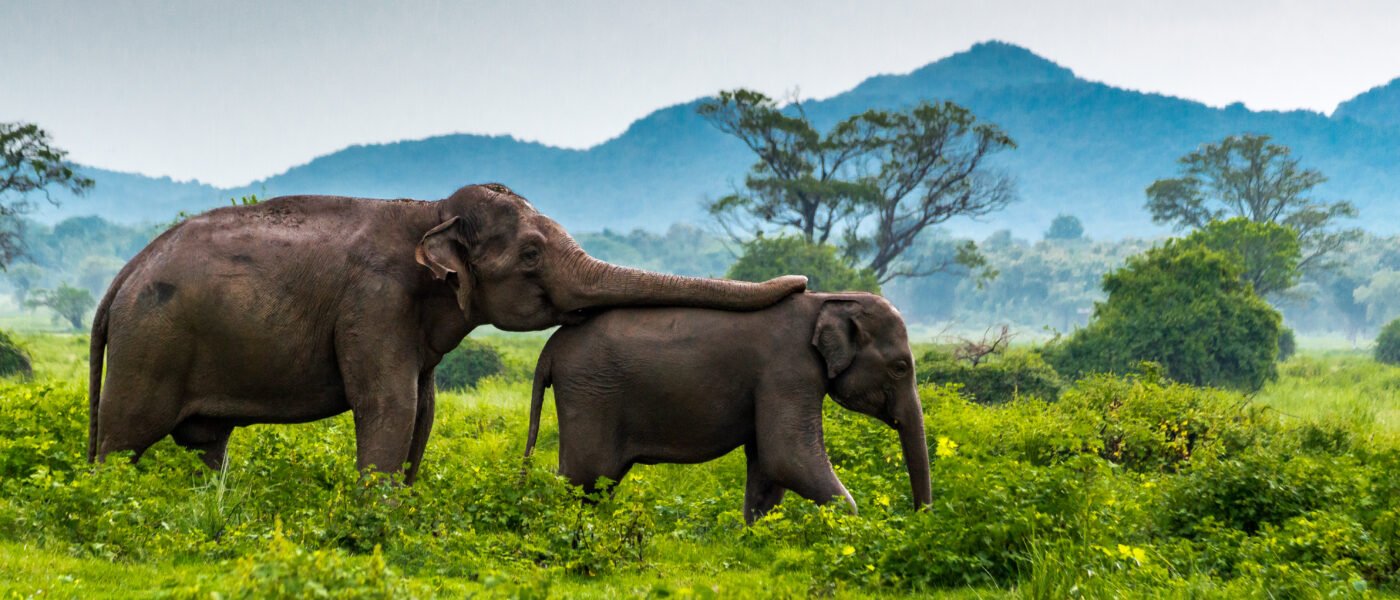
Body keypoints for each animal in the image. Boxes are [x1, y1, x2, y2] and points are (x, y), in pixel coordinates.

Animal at [88, 183, 806, 483]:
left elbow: (424, 411)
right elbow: (390, 406)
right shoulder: (374, 303)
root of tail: (122, 277)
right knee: (124, 439)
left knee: (207, 446)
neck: (430, 210)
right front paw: (376, 516)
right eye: (530, 255)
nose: (801, 283)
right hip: (150, 345)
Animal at [524, 291, 932, 523]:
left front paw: (756, 538)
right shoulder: (789, 369)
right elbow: (787, 457)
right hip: (590, 393)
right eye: (900, 367)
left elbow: (768, 466)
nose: (919, 520)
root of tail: (549, 349)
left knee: (596, 483)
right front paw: (852, 529)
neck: (827, 300)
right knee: (584, 477)